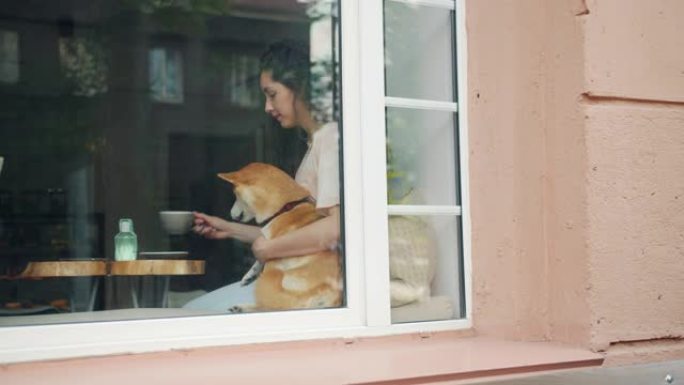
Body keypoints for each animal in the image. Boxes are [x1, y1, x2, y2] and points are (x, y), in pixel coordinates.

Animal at [219, 162, 342, 312]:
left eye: (235, 195)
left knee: (273, 305)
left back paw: (243, 307)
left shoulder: (271, 249)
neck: (285, 208)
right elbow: (258, 260)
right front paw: (250, 274)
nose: (230, 214)